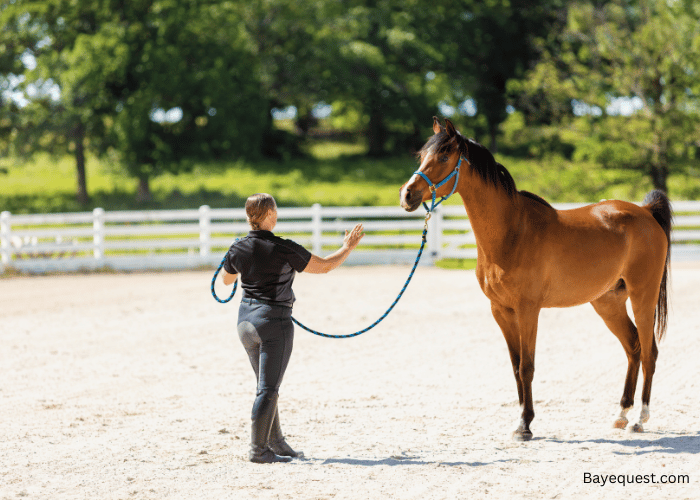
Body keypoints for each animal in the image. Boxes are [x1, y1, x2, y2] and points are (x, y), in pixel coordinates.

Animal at [400, 117, 672, 442]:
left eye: (443, 156)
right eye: (421, 155)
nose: (407, 195)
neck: (512, 232)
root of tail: (645, 212)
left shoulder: (528, 309)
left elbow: (527, 366)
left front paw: (524, 425)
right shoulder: (501, 311)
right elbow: (516, 366)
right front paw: (521, 419)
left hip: (643, 296)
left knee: (650, 351)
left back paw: (640, 419)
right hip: (608, 303)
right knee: (633, 347)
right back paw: (621, 415)